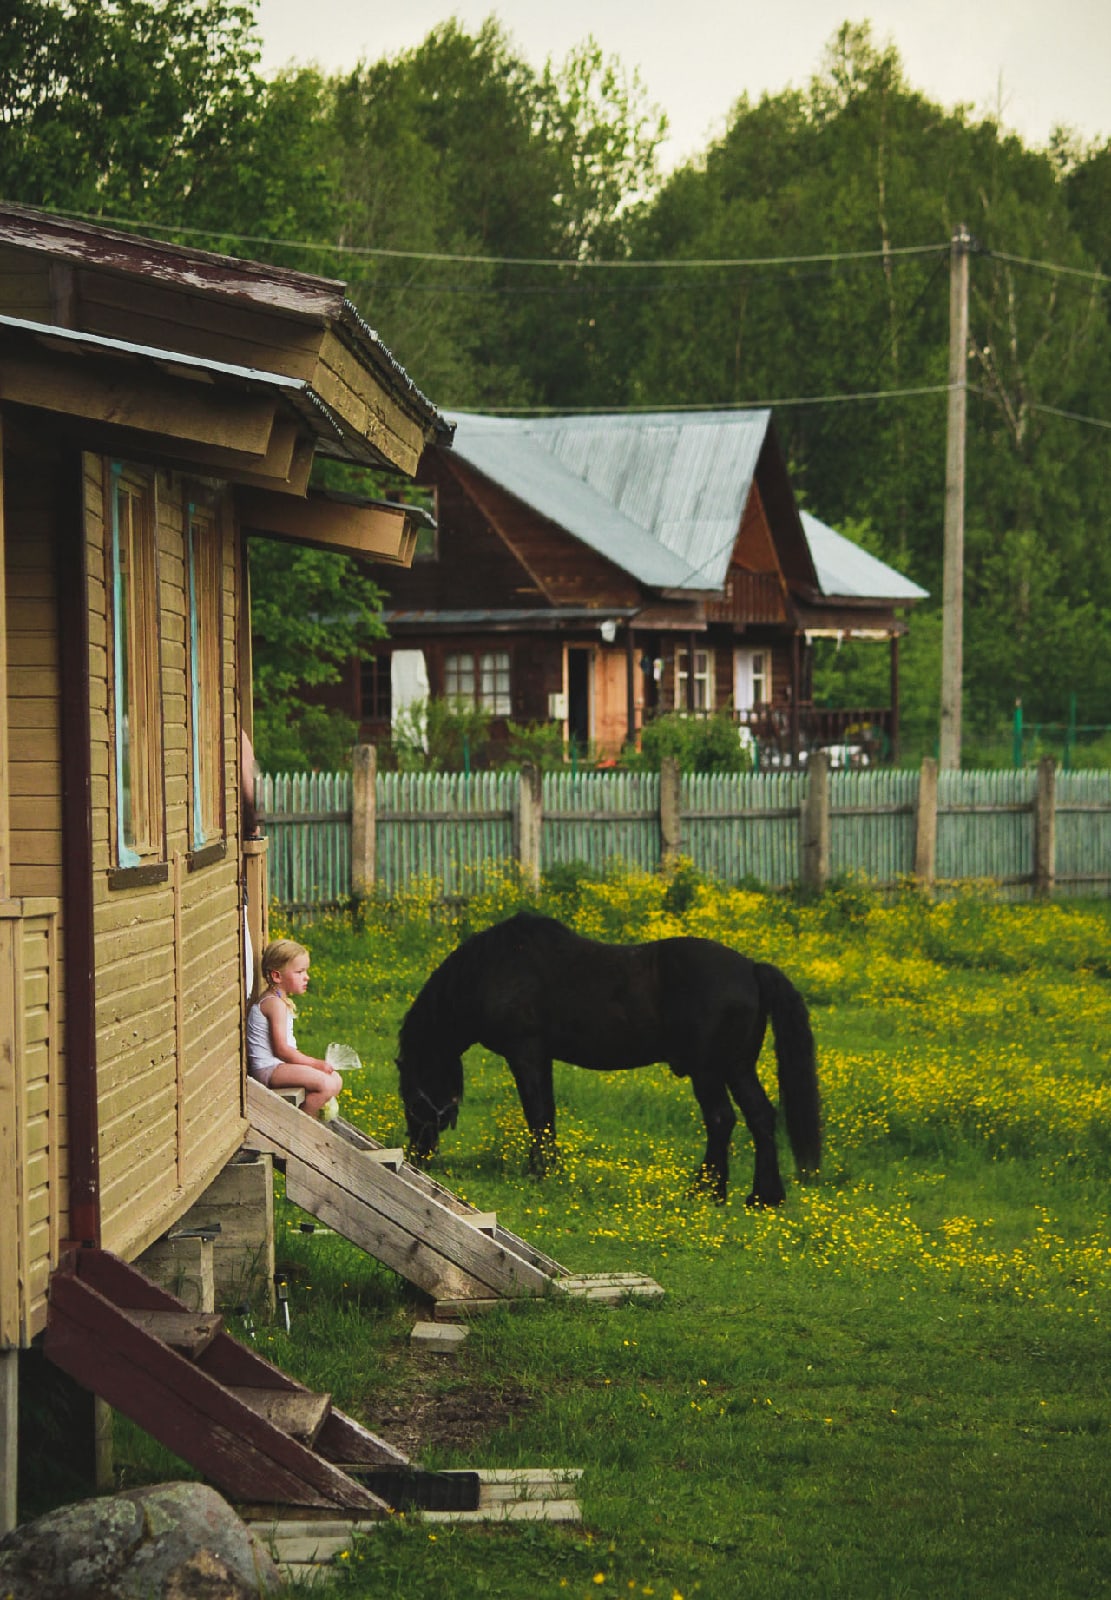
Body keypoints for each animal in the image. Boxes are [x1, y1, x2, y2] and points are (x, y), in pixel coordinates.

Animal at [395, 915, 819, 1203]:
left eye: (411, 1098)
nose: (417, 1155)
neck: (495, 968)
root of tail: (751, 969)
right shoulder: (541, 1058)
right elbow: (546, 1114)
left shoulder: (526, 1053)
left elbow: (537, 1113)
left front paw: (539, 1171)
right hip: (738, 1067)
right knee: (760, 1117)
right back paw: (763, 1197)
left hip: (709, 1071)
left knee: (721, 1120)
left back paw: (704, 1191)